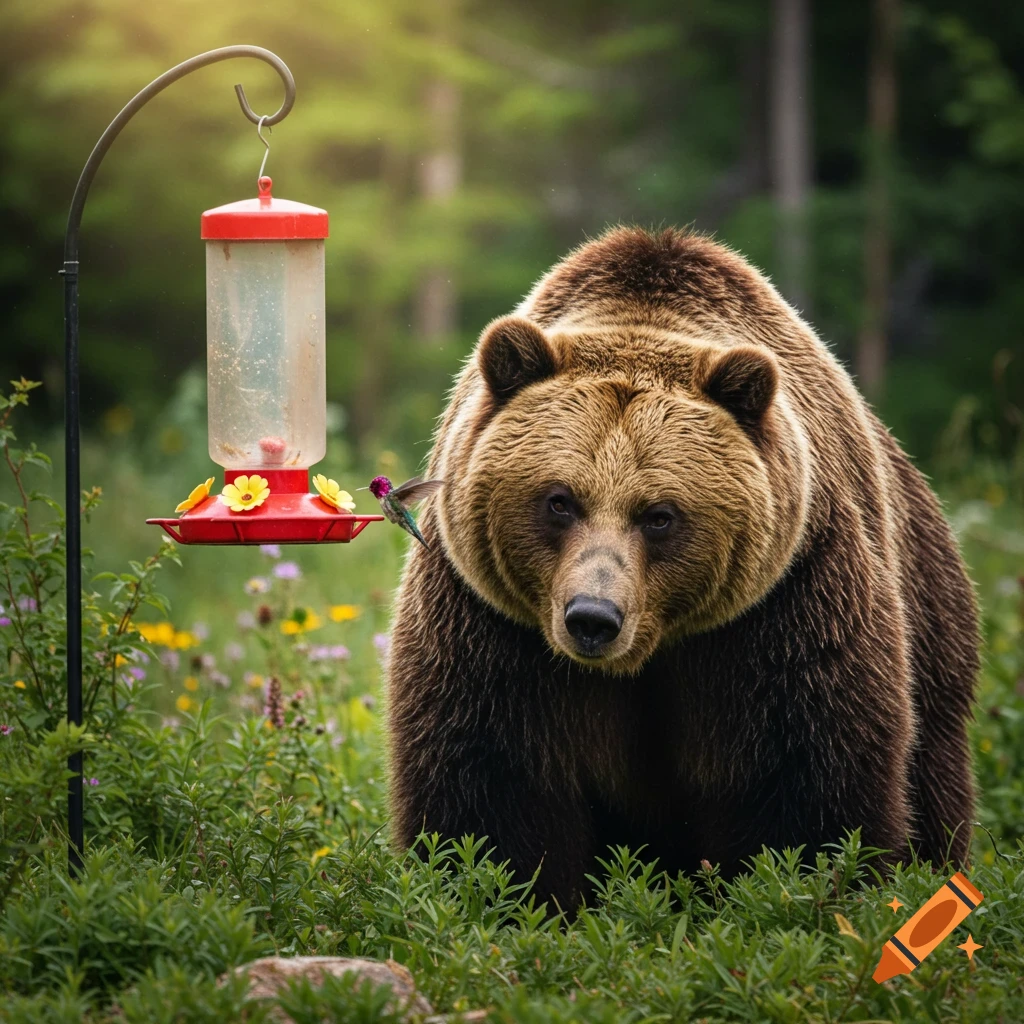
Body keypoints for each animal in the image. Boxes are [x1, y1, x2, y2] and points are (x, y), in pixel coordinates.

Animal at [386, 226, 979, 912]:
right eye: (559, 500)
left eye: (660, 515)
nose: (593, 618)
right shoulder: (490, 622)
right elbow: (493, 784)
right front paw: (508, 896)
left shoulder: (787, 604)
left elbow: (802, 781)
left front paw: (793, 887)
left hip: (931, 631)